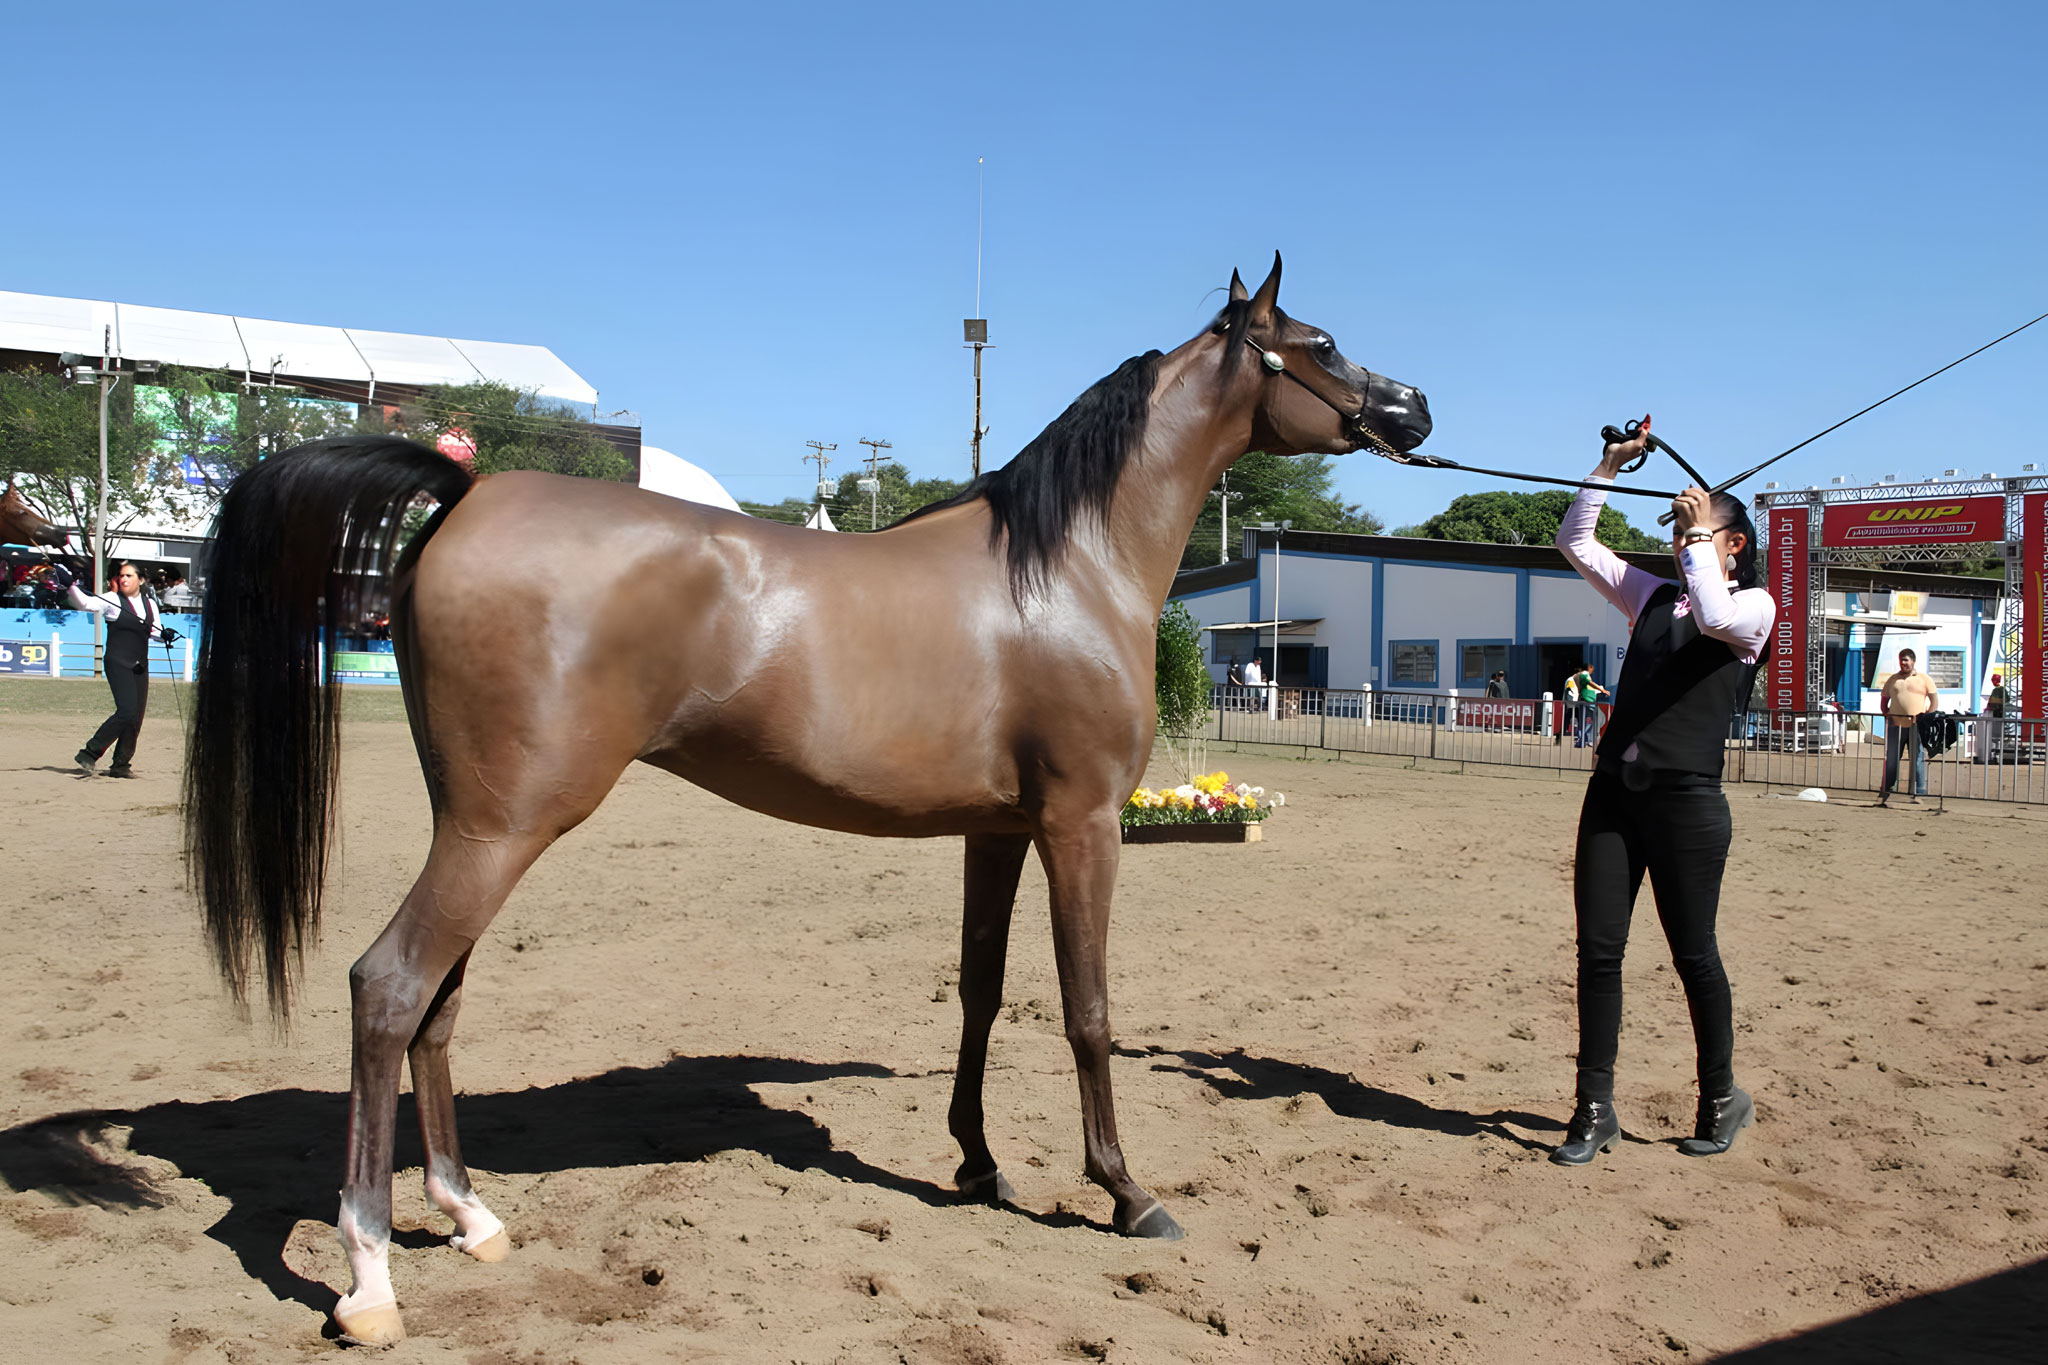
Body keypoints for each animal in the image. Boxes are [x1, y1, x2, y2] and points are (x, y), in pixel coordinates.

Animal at [192, 255, 1433, 1342]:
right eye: (1320, 345)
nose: (1414, 407)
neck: (1067, 569)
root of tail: (465, 491)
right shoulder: (1080, 826)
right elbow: (1087, 1011)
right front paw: (1127, 1195)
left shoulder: (996, 831)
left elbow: (981, 994)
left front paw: (976, 1164)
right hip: (503, 827)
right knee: (390, 988)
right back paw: (368, 1279)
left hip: (478, 823)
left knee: (437, 1005)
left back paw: (468, 1216)